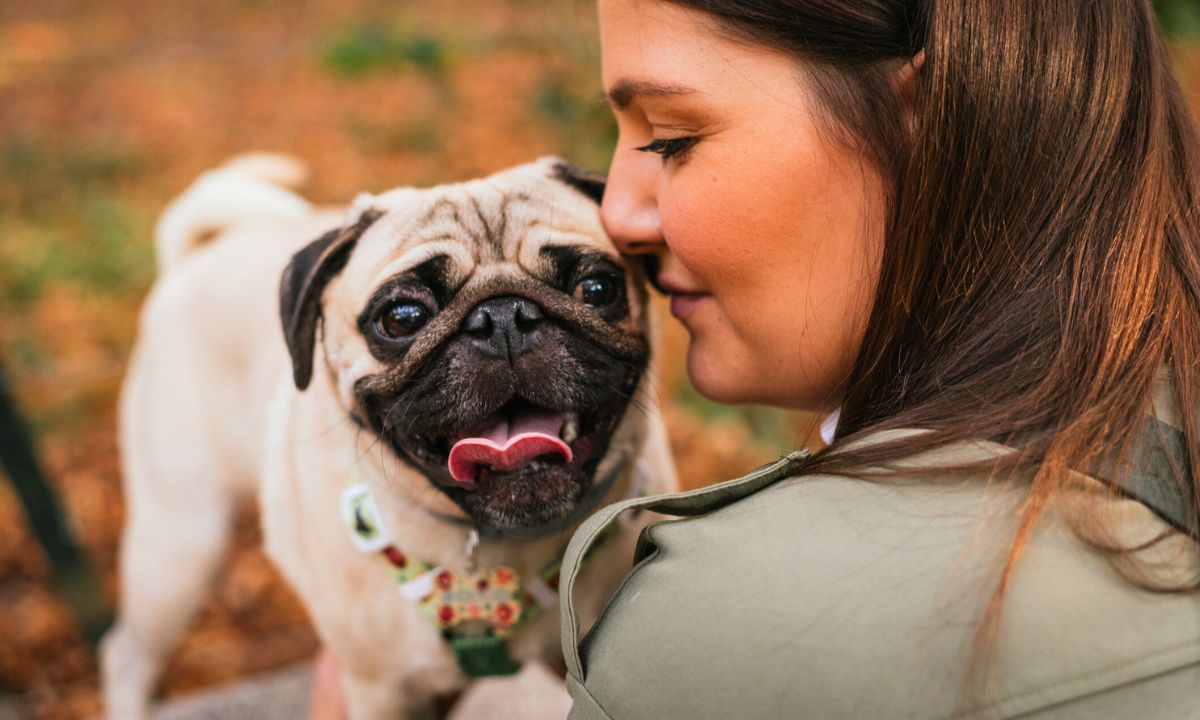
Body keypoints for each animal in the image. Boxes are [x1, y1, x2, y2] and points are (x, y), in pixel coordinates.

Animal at [102, 154, 676, 715]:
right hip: (180, 547)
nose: (503, 316)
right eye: (402, 317)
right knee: (124, 655)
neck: (492, 550)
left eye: (597, 289)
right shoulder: (382, 692)